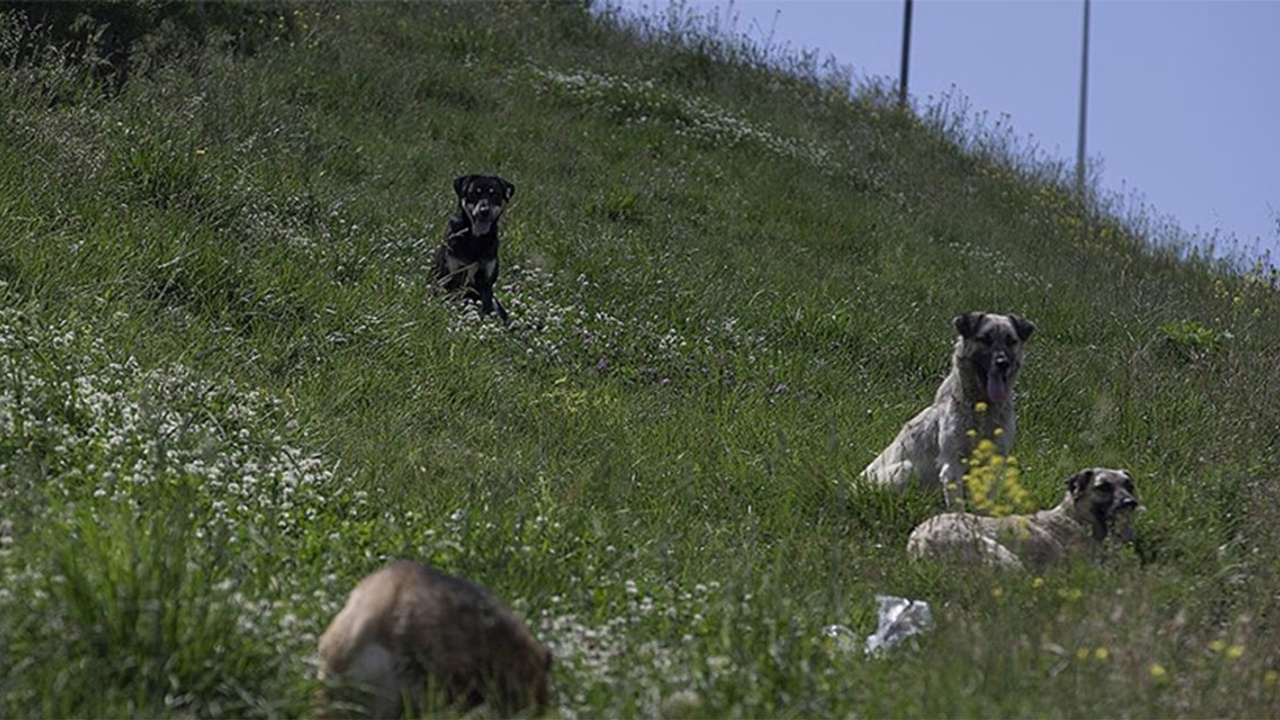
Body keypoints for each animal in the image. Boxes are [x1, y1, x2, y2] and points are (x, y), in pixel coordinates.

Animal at [435, 174, 514, 319]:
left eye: (494, 194)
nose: (484, 211)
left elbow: (486, 307)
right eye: (474, 193)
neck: (475, 239)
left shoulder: (486, 282)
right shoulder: (451, 275)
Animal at [911, 466, 1141, 571]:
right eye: (1103, 487)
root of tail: (917, 542)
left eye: (1129, 485)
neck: (1075, 517)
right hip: (999, 553)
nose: (1130, 503)